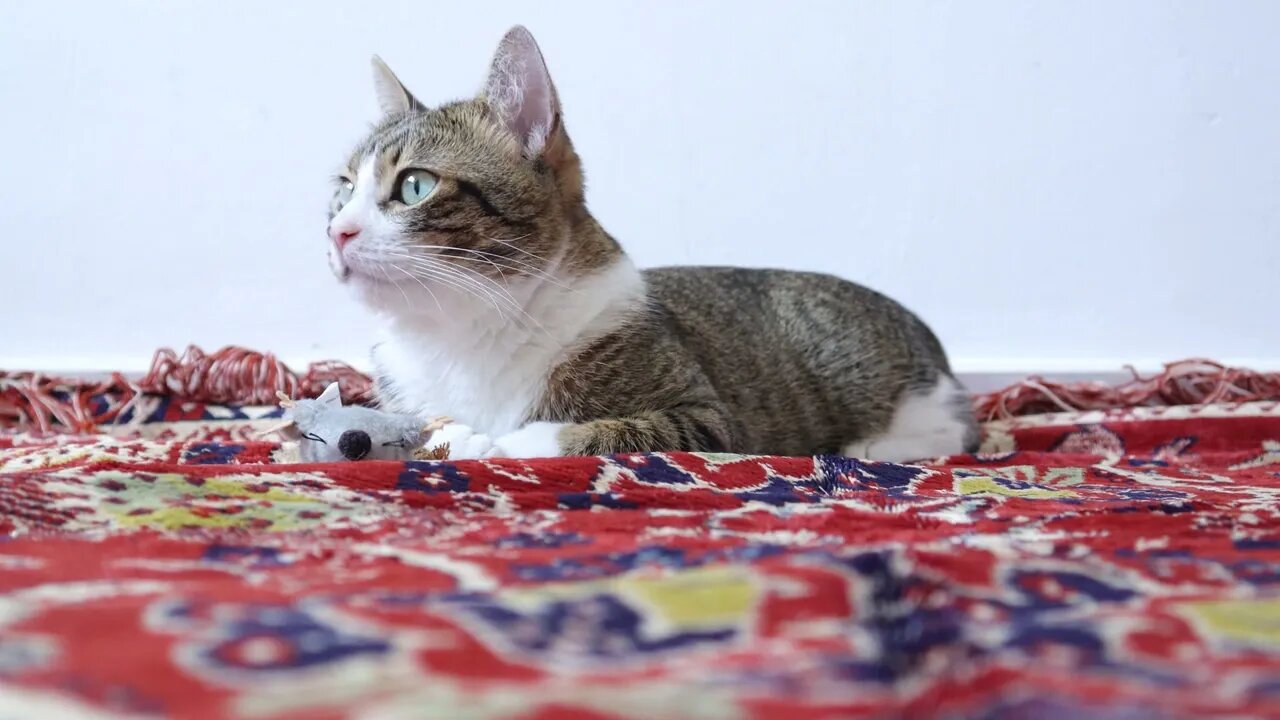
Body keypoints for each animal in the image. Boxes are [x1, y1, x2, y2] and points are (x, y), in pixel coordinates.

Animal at [325, 25, 972, 458]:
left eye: (414, 185)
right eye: (344, 188)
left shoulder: (713, 420)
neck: (460, 334)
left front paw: (504, 442)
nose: (336, 230)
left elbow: (616, 430)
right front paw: (447, 435)